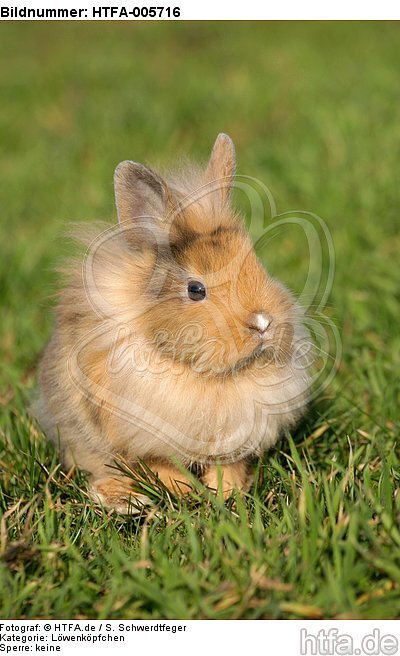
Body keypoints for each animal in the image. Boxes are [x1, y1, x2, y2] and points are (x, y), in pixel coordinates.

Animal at [35, 134, 312, 512]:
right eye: (195, 290)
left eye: (258, 265)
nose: (263, 323)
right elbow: (161, 464)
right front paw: (185, 492)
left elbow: (229, 464)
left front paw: (227, 493)